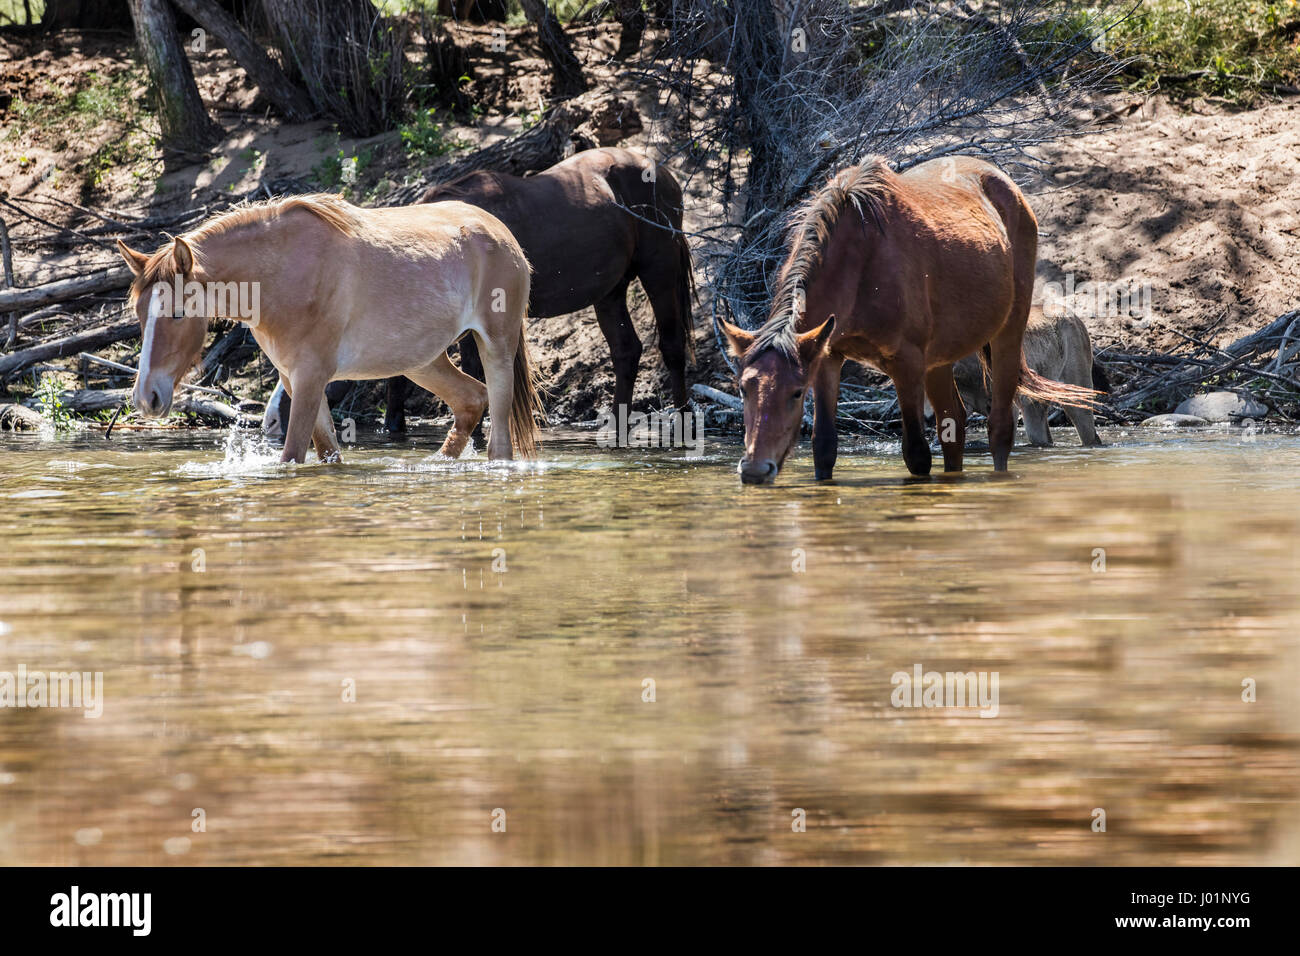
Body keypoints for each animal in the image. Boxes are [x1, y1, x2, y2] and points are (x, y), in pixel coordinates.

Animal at [111, 193, 538, 463]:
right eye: (139, 313)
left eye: (177, 313)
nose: (145, 398)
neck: (281, 275)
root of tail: (501, 232)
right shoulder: (295, 379)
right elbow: (328, 453)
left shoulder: (311, 377)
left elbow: (292, 456)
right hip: (422, 362)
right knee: (471, 400)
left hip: (496, 348)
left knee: (499, 442)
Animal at [379, 145, 696, 434]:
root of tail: (660, 170)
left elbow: (473, 370)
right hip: (610, 292)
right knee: (626, 351)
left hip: (660, 272)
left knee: (672, 345)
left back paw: (682, 419)